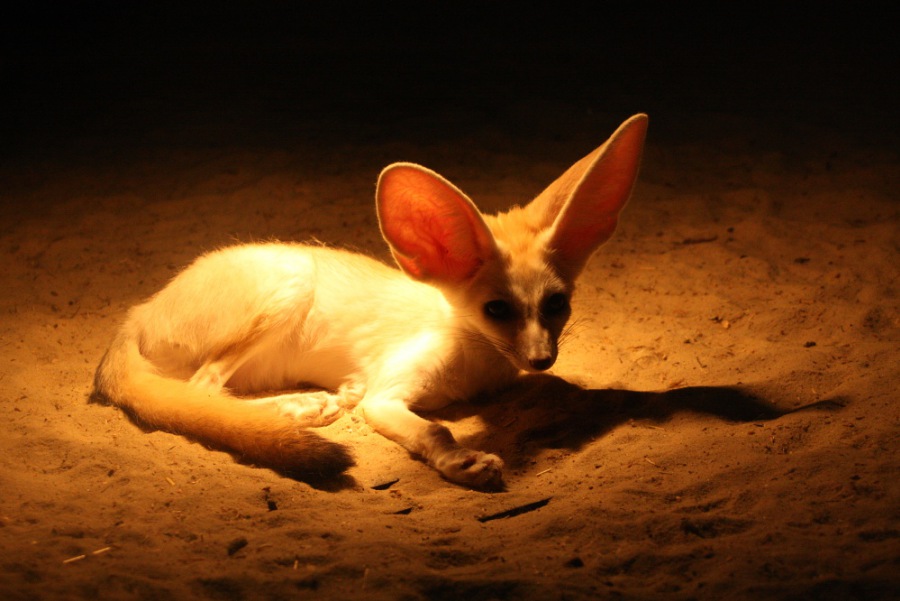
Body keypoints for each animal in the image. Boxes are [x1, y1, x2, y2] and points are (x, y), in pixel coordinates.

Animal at [92, 114, 648, 489]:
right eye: (497, 310)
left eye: (557, 304)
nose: (541, 358)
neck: (472, 357)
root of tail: (135, 314)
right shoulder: (386, 394)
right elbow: (436, 432)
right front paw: (463, 461)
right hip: (292, 280)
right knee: (204, 389)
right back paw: (299, 405)